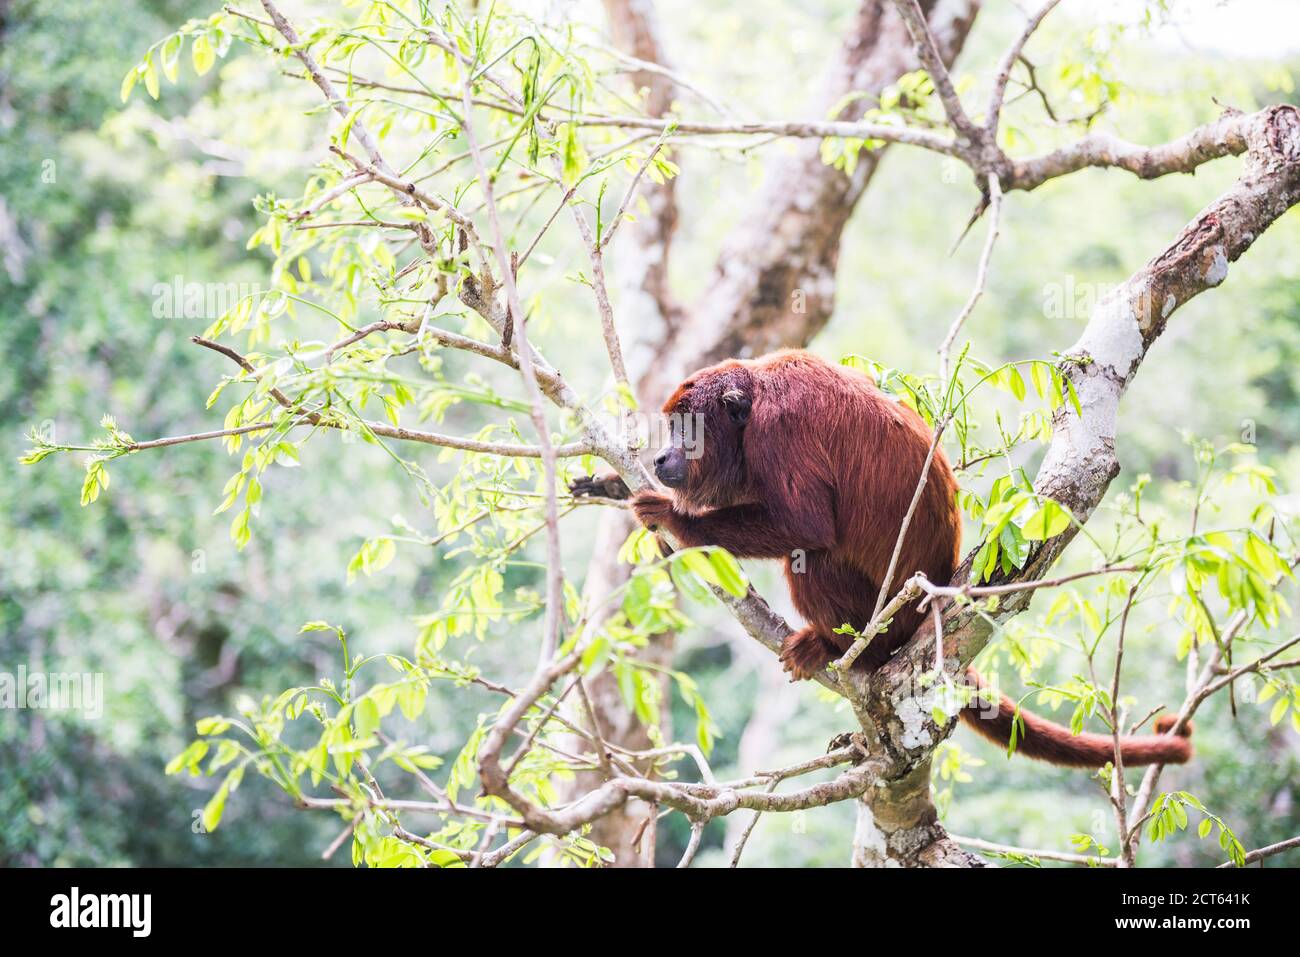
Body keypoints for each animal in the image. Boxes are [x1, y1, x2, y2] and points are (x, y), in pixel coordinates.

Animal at [574, 351, 1190, 769]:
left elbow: (807, 525)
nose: (662, 457)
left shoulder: (779, 431)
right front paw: (616, 485)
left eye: (687, 430)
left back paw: (839, 648)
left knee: (813, 557)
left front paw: (675, 519)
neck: (752, 401)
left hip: (883, 616)